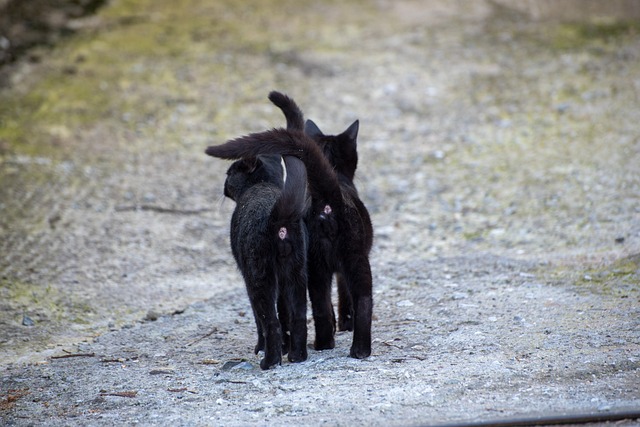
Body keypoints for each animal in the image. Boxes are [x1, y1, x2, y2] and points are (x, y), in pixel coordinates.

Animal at [220, 155, 310, 372]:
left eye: (229, 173)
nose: (223, 184)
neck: (262, 183)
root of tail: (279, 217)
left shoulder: (247, 276)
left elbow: (259, 317)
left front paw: (262, 347)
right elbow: (285, 311)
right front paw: (286, 346)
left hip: (259, 276)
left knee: (270, 321)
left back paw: (269, 361)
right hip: (296, 272)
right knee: (298, 316)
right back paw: (297, 355)